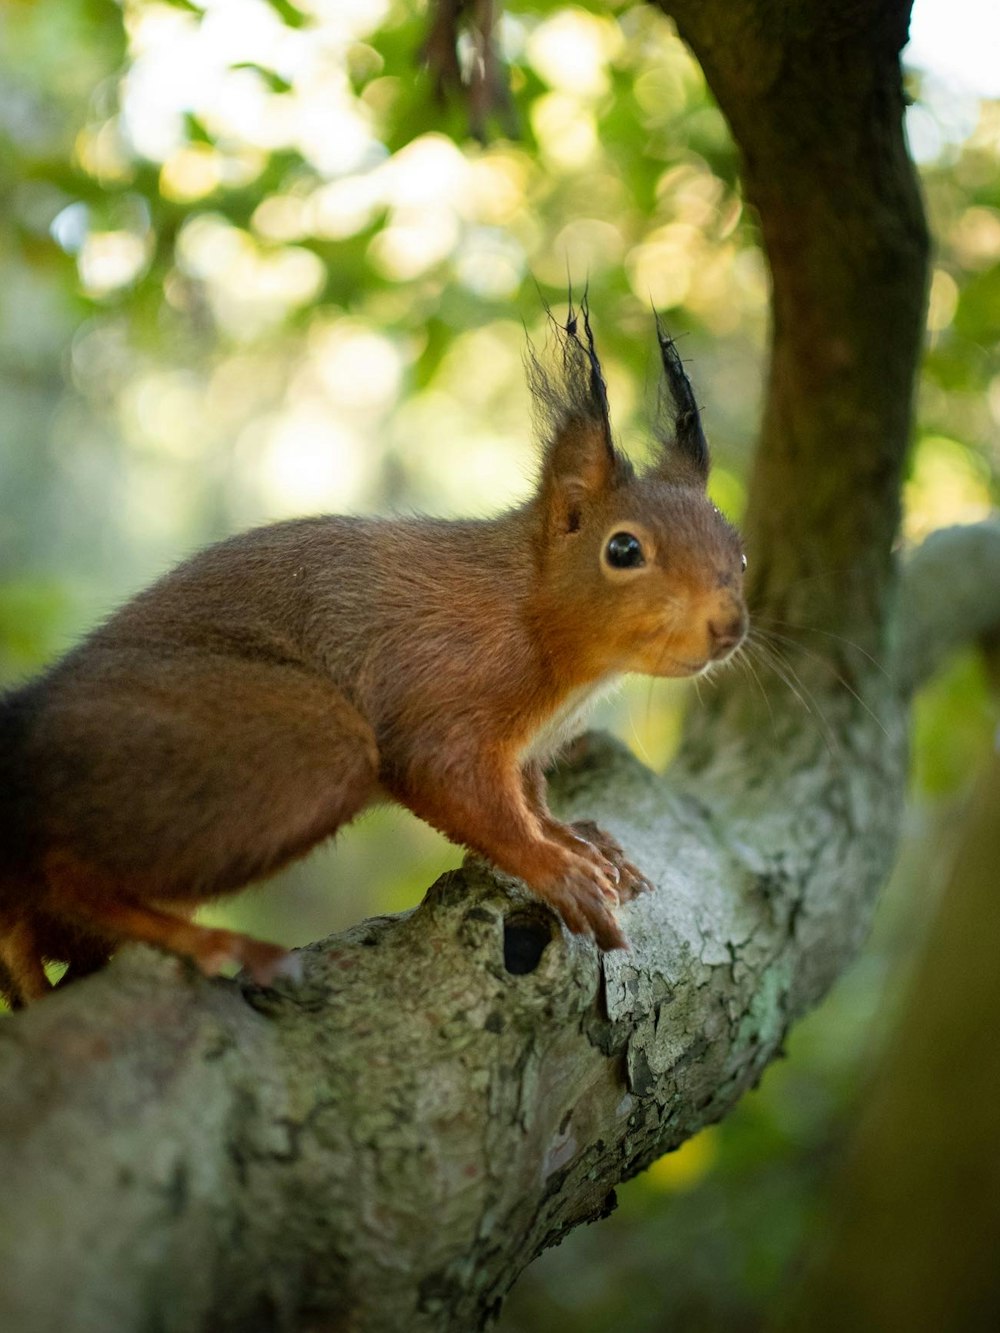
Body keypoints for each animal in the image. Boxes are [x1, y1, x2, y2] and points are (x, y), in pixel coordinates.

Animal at [0, 305, 746, 1007]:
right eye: (623, 550)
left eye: (737, 550)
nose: (730, 626)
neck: (539, 622)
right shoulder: (450, 681)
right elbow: (454, 783)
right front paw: (556, 867)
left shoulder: (528, 749)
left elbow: (532, 798)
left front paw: (578, 838)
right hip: (291, 737)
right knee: (67, 874)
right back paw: (204, 941)